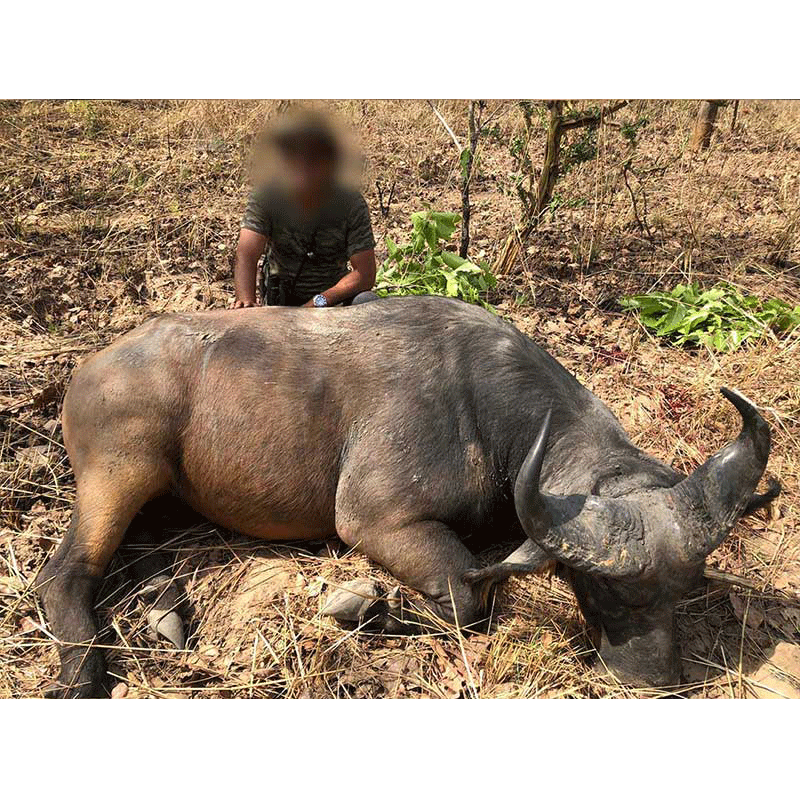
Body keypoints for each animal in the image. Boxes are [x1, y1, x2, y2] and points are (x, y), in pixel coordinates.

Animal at [34, 296, 780, 696]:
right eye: (602, 591)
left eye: (681, 590)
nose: (655, 678)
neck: (484, 402)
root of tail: (91, 368)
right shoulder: (378, 522)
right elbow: (468, 600)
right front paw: (366, 611)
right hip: (120, 472)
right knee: (65, 572)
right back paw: (82, 669)